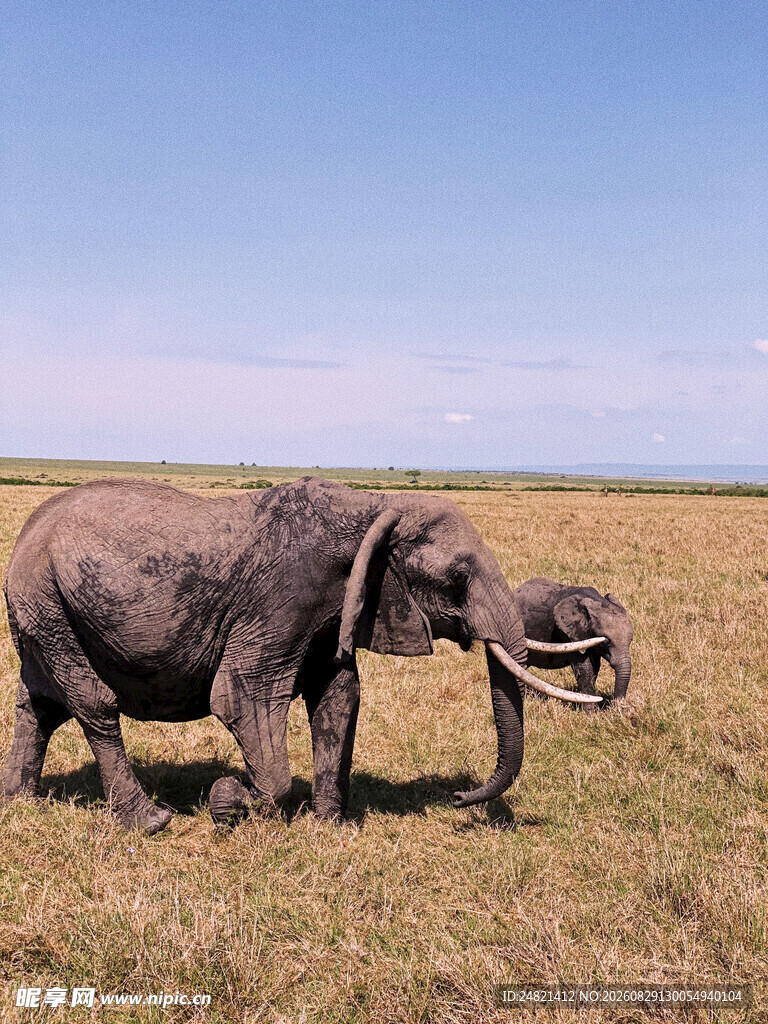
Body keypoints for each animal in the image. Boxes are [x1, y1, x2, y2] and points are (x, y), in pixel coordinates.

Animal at [2, 477, 601, 833]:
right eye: (456, 576)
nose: (457, 797)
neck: (374, 506)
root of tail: (27, 533)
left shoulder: (335, 608)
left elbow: (340, 697)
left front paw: (329, 826)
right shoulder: (281, 600)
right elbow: (243, 698)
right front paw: (228, 801)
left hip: (41, 610)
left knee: (39, 706)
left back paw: (20, 802)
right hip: (47, 601)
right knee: (93, 703)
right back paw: (151, 822)